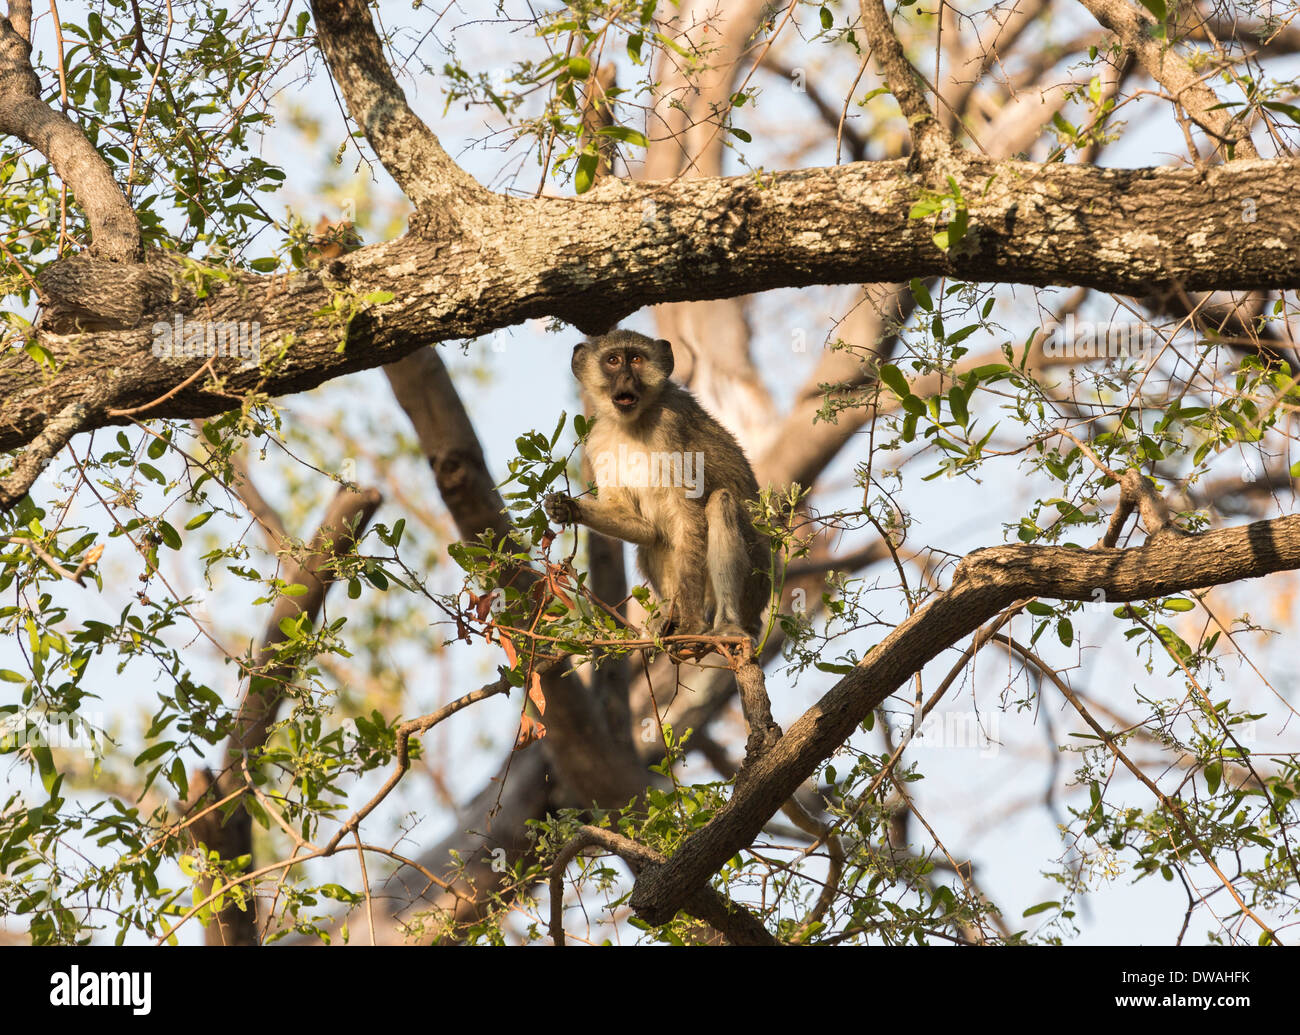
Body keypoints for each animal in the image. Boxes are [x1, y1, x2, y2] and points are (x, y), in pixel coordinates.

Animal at [544, 330, 770, 641]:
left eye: (637, 359)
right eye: (613, 361)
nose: (627, 378)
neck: (633, 423)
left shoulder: (669, 427)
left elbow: (689, 519)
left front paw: (691, 624)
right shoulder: (598, 438)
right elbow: (644, 528)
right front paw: (565, 507)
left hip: (755, 581)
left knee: (720, 502)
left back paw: (723, 624)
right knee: (654, 541)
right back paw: (669, 620)